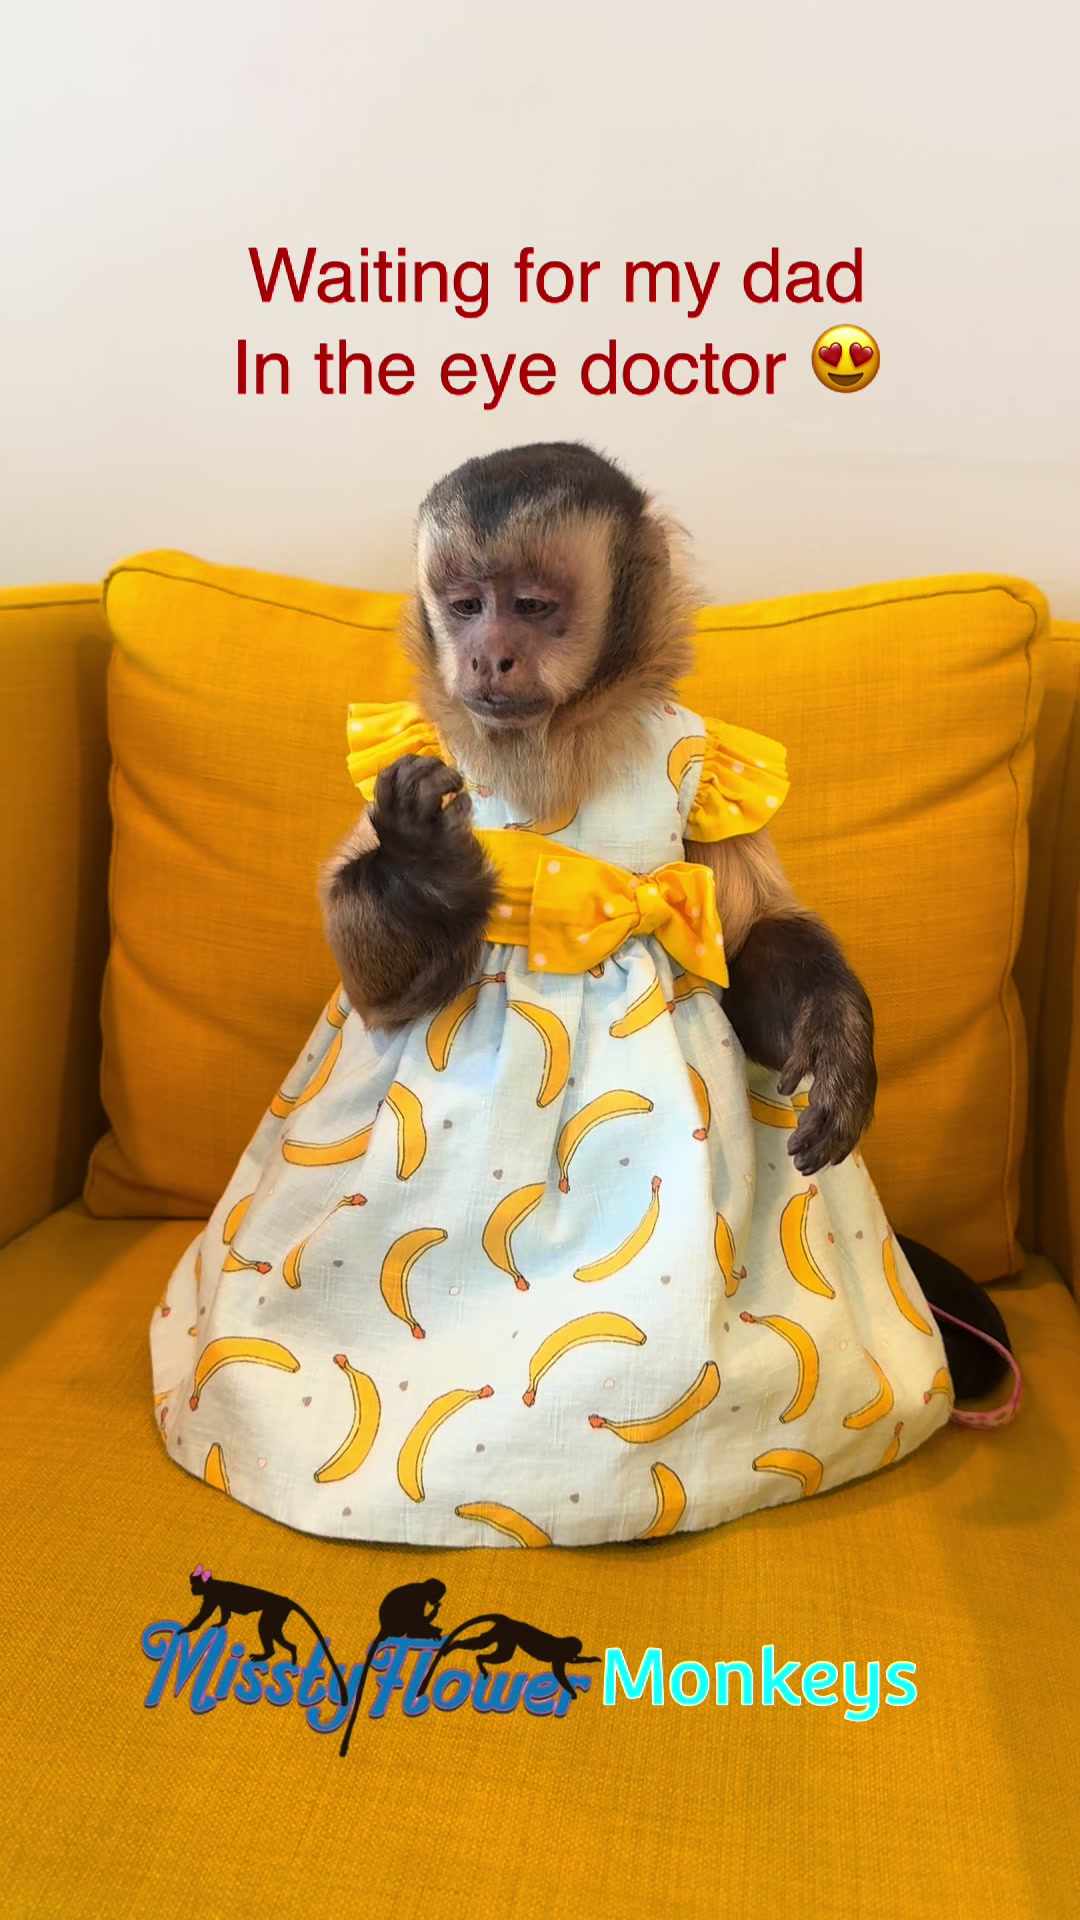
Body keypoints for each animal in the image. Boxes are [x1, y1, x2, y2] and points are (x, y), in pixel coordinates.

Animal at [181, 1565, 347, 1706]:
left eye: (195, 1585)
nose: (192, 1590)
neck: (212, 1585)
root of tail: (284, 1600)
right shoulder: (221, 1601)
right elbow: (225, 1615)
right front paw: (219, 1624)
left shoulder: (212, 1597)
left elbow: (203, 1616)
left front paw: (185, 1630)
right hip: (277, 1616)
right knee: (282, 1638)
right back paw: (292, 1656)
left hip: (273, 1612)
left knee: (265, 1629)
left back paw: (268, 1654)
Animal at [318, 440, 1012, 1406]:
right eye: (464, 606)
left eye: (531, 608)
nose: (488, 657)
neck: (558, 744)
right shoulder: (411, 750)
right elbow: (381, 999)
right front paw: (420, 867)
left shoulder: (718, 759)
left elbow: (749, 941)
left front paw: (836, 1039)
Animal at [338, 1578, 446, 1759]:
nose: (435, 1601)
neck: (422, 1588)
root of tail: (385, 1628)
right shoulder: (418, 1600)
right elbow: (417, 1621)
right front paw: (432, 1624)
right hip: (400, 1625)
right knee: (411, 1628)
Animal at [414, 1614, 601, 1705]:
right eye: (575, 1648)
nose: (575, 1653)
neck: (564, 1645)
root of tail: (509, 1621)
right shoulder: (559, 1655)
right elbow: (559, 1673)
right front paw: (572, 1692)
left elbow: (573, 1663)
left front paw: (591, 1659)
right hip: (506, 1633)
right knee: (491, 1649)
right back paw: (462, 1649)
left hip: (503, 1635)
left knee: (491, 1648)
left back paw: (475, 1658)